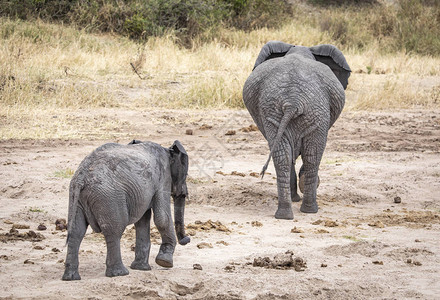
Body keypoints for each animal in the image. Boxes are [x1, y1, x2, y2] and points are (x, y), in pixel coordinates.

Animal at [62, 139, 191, 280]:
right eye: (186, 174)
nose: (187, 239)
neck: (168, 150)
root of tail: (81, 179)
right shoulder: (163, 178)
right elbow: (162, 218)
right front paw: (165, 262)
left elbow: (142, 221)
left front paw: (141, 268)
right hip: (109, 197)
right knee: (114, 230)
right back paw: (120, 273)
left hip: (77, 198)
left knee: (76, 232)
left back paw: (71, 277)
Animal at [242, 40, 352, 218]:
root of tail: (293, 101)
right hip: (312, 112)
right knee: (312, 155)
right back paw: (308, 208)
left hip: (281, 112)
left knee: (289, 157)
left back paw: (287, 214)